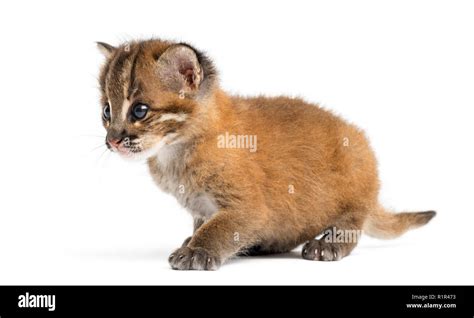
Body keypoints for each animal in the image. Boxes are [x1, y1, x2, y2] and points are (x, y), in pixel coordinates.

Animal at [97, 38, 436, 270]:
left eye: (139, 110)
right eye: (106, 111)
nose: (112, 141)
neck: (176, 150)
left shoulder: (249, 207)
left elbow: (219, 228)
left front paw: (196, 251)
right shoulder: (202, 209)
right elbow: (205, 224)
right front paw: (191, 241)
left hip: (353, 189)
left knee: (352, 224)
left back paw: (326, 245)